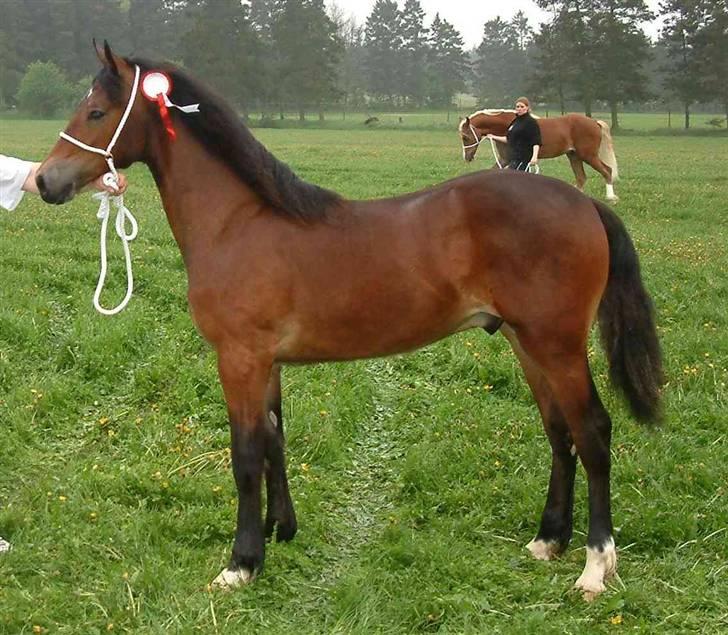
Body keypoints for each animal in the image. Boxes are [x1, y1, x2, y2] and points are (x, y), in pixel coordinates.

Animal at [460, 110, 620, 201]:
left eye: (465, 137)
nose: (467, 158)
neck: (507, 127)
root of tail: (594, 122)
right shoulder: (505, 159)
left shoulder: (510, 159)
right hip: (574, 156)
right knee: (581, 177)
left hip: (588, 155)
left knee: (607, 171)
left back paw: (610, 197)